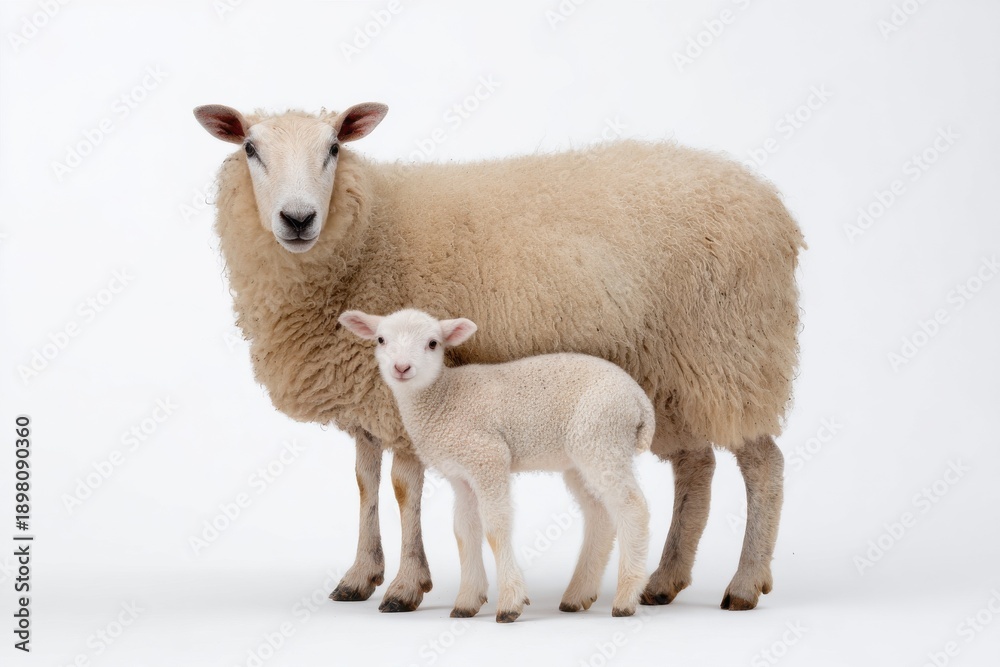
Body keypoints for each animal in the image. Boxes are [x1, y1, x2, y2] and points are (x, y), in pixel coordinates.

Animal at [338, 308, 654, 621]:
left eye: (432, 343)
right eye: (381, 339)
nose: (402, 368)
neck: (443, 397)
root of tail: (640, 401)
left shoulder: (487, 456)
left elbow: (495, 527)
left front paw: (510, 602)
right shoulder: (461, 476)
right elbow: (464, 531)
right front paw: (467, 601)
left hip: (603, 438)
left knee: (633, 507)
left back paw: (626, 598)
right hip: (581, 457)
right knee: (599, 514)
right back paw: (577, 595)